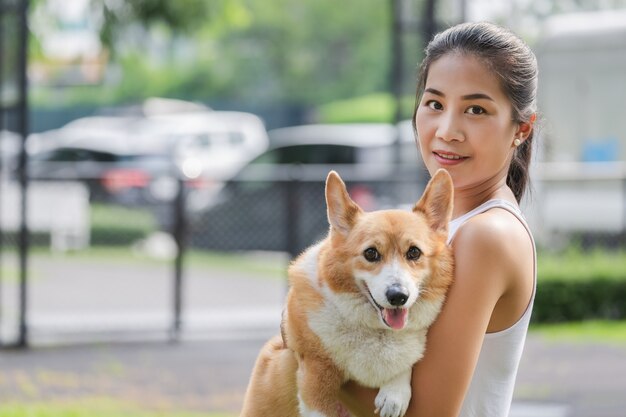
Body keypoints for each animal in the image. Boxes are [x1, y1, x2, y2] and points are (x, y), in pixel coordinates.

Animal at [240, 169, 454, 416]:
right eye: (371, 253)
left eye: (414, 252)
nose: (398, 296)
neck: (377, 332)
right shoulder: (315, 372)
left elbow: (404, 360)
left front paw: (395, 394)